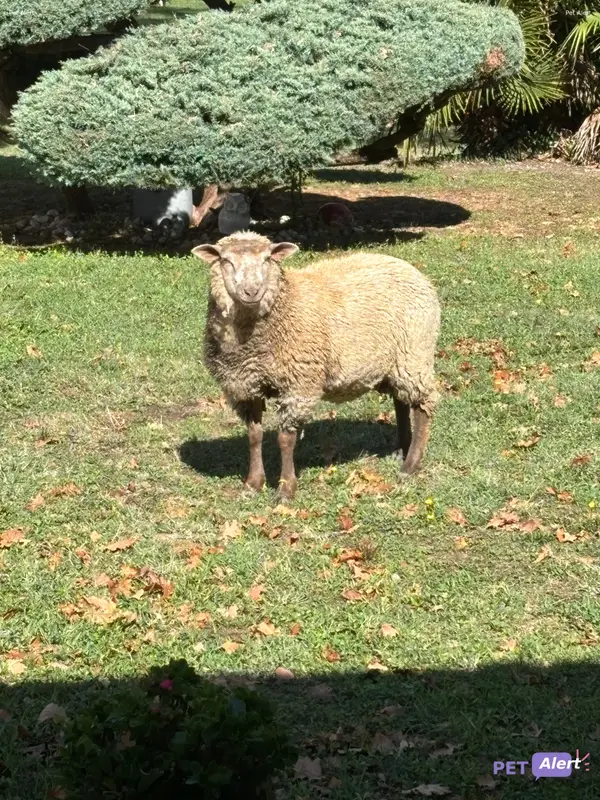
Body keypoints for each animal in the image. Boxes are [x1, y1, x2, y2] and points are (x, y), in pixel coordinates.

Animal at [192, 232, 440, 499]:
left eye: (267, 259)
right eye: (226, 261)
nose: (251, 291)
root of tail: (409, 268)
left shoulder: (298, 385)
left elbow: (285, 439)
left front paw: (286, 489)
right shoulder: (245, 386)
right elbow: (254, 436)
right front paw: (253, 483)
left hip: (414, 353)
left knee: (422, 406)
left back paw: (410, 464)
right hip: (394, 363)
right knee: (401, 401)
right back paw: (400, 450)